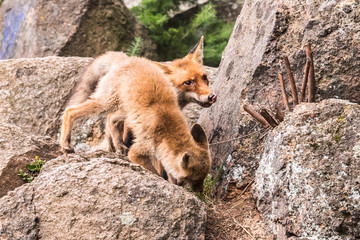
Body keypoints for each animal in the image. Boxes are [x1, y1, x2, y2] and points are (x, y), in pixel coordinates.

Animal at [58, 55, 211, 191]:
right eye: (194, 179)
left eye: (204, 177)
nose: (200, 193)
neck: (166, 129)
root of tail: (127, 58)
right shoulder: (140, 149)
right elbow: (155, 172)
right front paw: (165, 182)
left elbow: (168, 170)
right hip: (106, 104)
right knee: (70, 111)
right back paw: (66, 144)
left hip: (126, 112)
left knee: (112, 119)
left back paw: (119, 147)